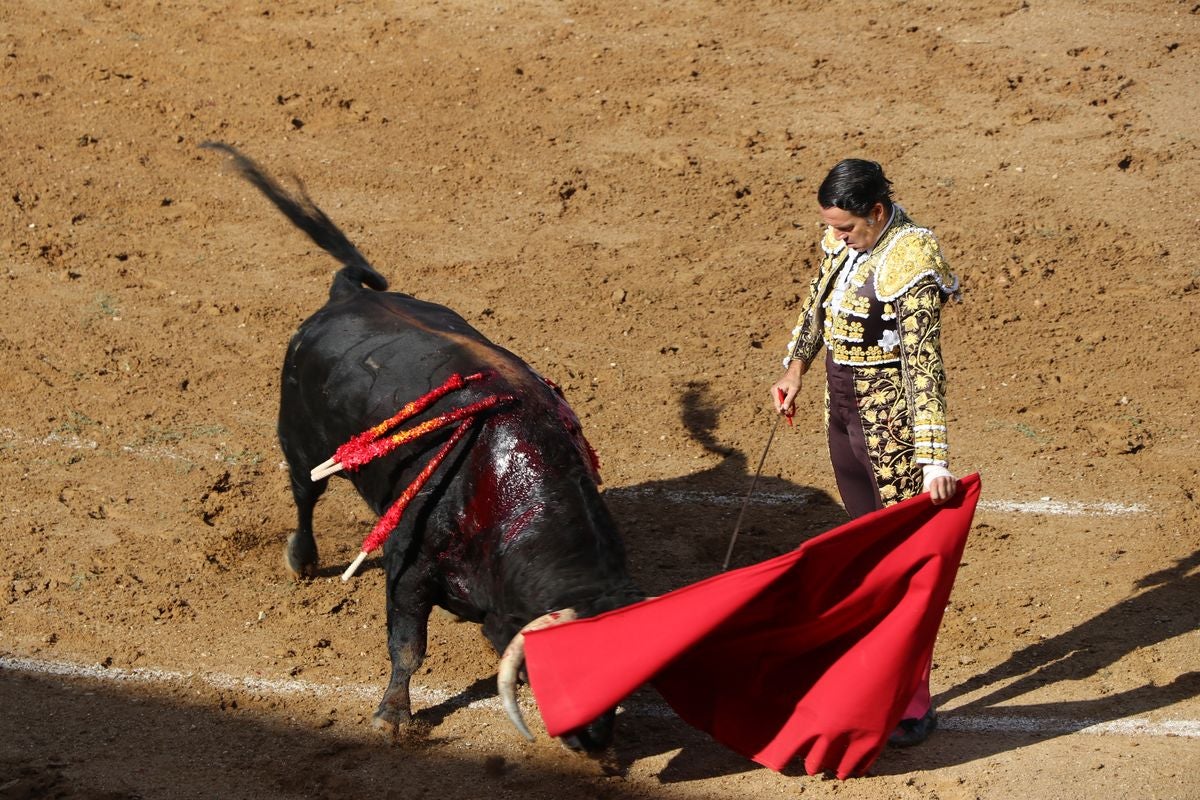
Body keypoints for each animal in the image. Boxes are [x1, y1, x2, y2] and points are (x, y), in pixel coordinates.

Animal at [201, 143, 643, 753]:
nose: (596, 741)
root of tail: (344, 295)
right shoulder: (406, 566)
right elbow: (408, 646)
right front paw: (391, 716)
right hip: (298, 440)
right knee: (304, 496)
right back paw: (302, 560)